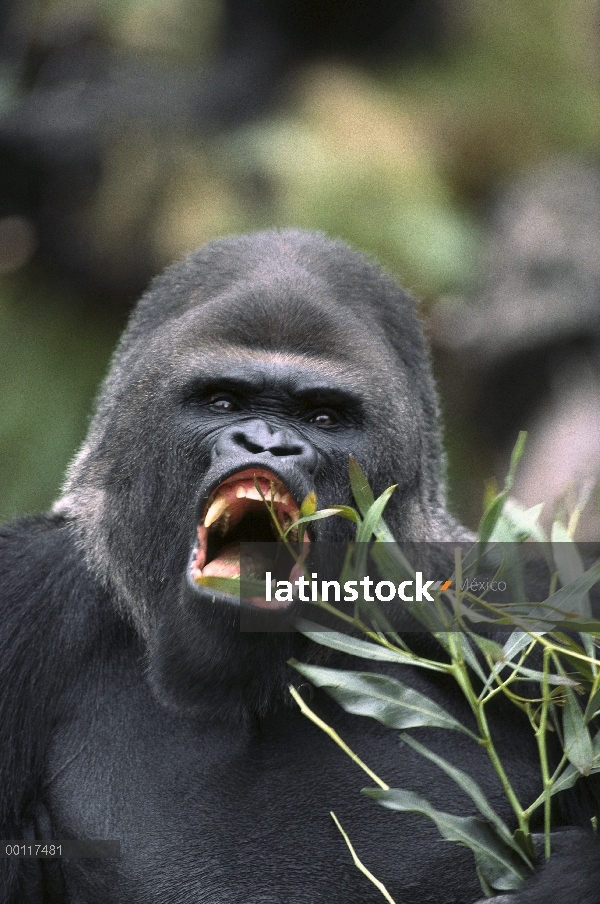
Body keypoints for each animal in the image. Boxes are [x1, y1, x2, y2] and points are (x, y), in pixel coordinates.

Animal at [1, 231, 600, 904]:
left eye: (322, 416)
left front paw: (568, 878)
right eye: (223, 401)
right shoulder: (20, 592)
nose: (267, 443)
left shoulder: (534, 616)